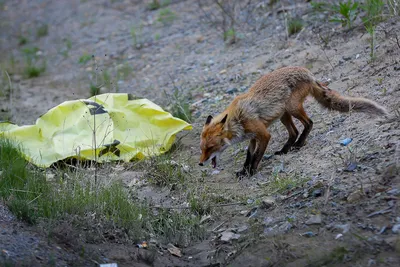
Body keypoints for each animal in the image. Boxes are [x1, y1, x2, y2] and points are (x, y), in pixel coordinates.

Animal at [199, 66, 388, 178]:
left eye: (211, 147)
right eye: (202, 148)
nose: (200, 163)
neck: (238, 118)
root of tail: (308, 72)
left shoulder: (264, 134)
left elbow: (257, 156)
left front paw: (252, 172)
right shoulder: (252, 137)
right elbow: (248, 155)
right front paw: (243, 171)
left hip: (292, 108)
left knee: (309, 123)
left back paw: (299, 144)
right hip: (284, 114)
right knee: (294, 132)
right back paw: (285, 150)